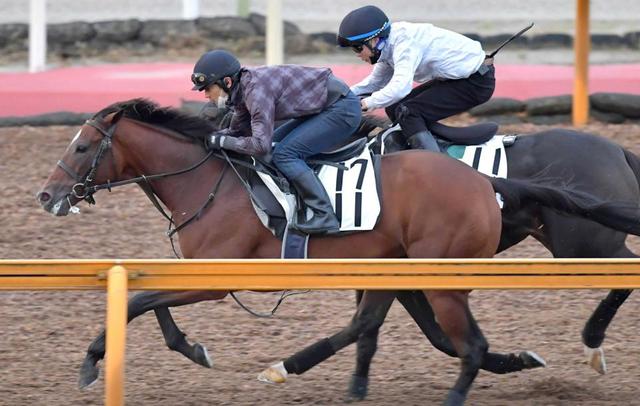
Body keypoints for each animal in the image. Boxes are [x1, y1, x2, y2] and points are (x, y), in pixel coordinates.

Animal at [37, 99, 640, 406]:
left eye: (83, 147)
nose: (47, 195)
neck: (213, 180)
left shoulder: (217, 279)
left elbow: (138, 302)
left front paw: (94, 360)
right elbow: (149, 300)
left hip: (578, 247)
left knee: (618, 276)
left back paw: (591, 342)